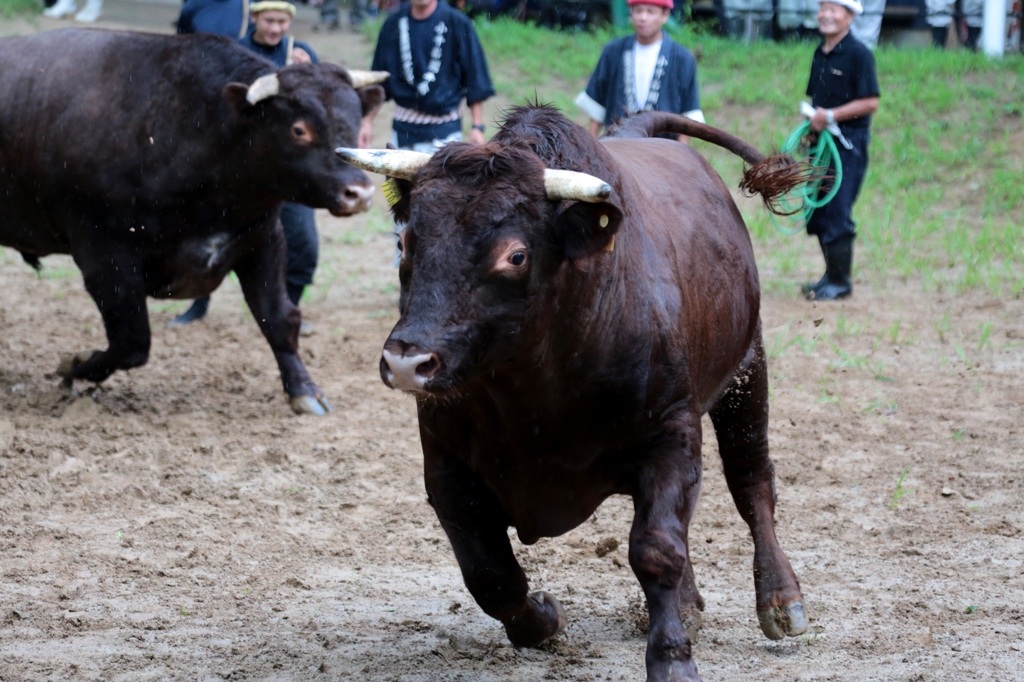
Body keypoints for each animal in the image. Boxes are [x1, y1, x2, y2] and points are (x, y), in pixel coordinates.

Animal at [339, 103, 811, 675]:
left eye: (515, 256)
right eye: (406, 241)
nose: (407, 361)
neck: (536, 388)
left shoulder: (671, 434)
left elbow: (656, 549)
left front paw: (672, 659)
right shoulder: (446, 464)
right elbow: (490, 575)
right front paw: (542, 620)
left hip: (747, 372)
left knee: (751, 482)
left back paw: (781, 599)